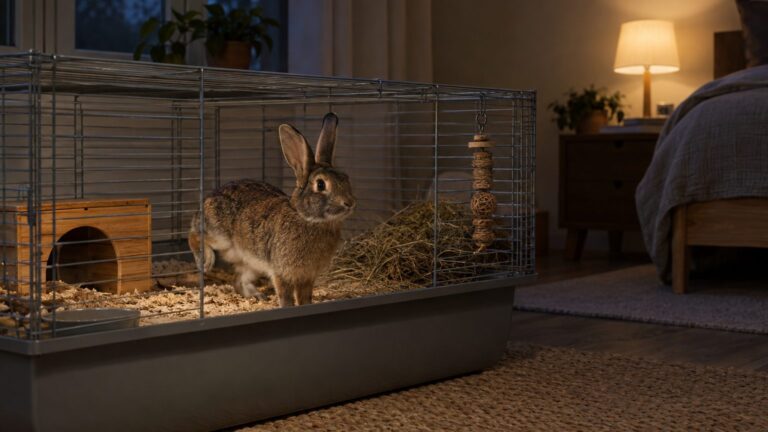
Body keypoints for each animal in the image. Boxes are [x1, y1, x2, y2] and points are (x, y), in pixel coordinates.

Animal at [188, 113, 356, 307]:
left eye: (346, 178)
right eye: (321, 184)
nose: (349, 203)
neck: (306, 217)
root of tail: (207, 199)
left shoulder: (307, 277)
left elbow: (305, 297)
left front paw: (307, 306)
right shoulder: (281, 272)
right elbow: (286, 296)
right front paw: (287, 308)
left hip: (252, 264)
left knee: (238, 280)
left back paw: (257, 296)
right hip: (221, 236)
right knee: (195, 234)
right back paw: (205, 261)